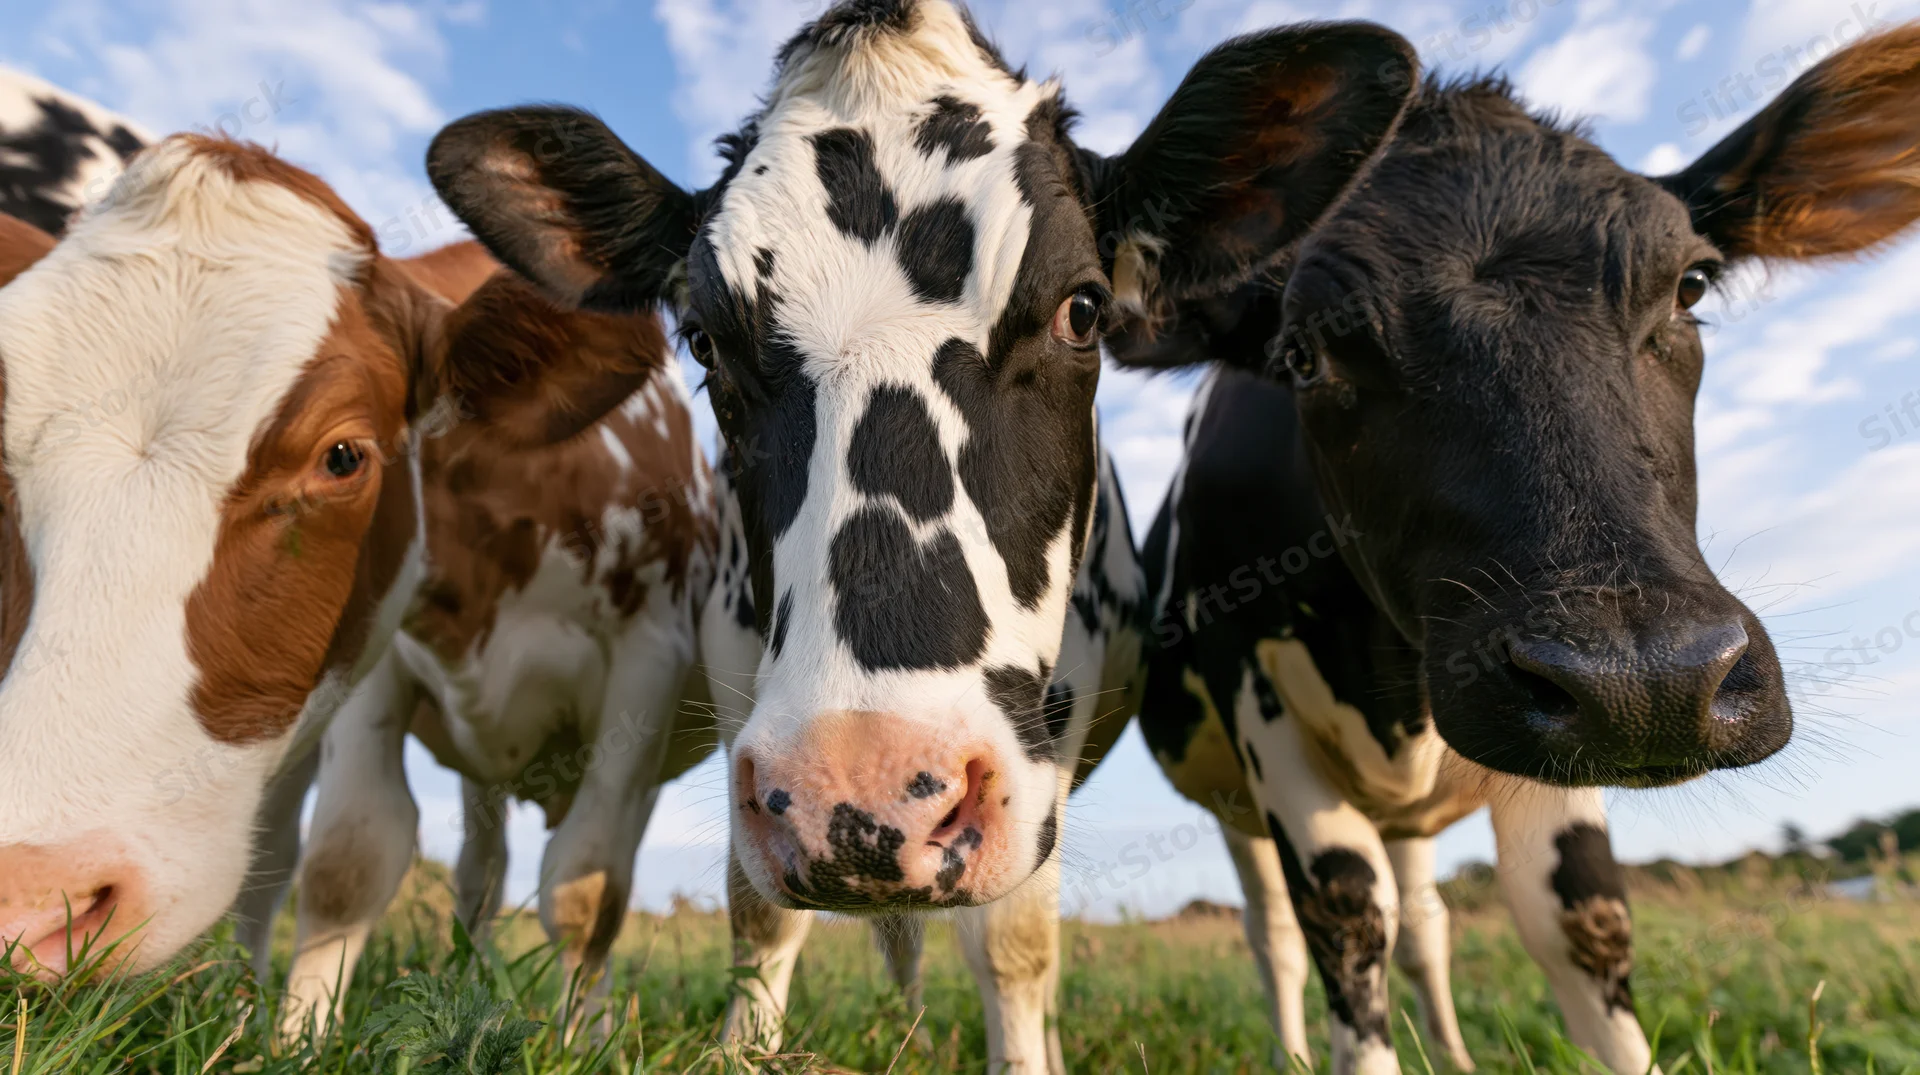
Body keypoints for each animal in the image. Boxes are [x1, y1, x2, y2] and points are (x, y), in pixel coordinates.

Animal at [421, 3, 1417, 1067]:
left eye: (1083, 309)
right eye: (704, 340)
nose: (860, 786)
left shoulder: (1049, 739)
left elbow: (1015, 943)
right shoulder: (735, 695)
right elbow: (760, 917)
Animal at [1110, 24, 1920, 1075]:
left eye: (1690, 285)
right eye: (1303, 352)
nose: (1650, 680)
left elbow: (1579, 918)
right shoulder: (1264, 707)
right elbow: (1344, 911)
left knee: (1426, 917)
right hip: (1230, 798)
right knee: (1279, 929)